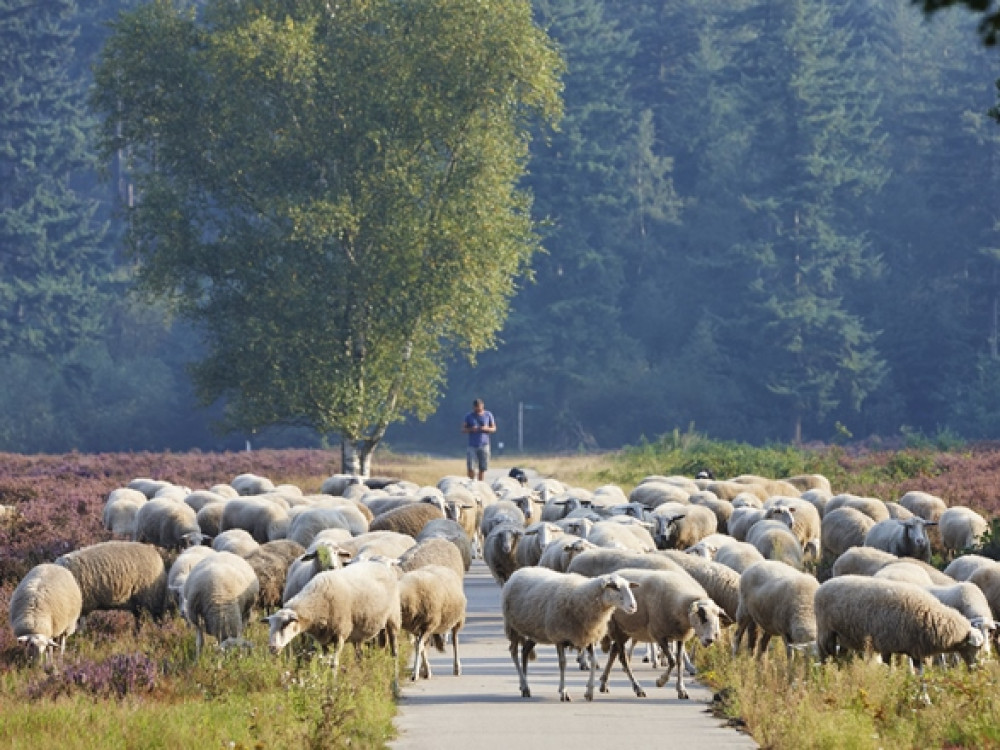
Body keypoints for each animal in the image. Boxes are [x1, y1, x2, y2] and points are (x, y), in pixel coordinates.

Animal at [270, 560, 406, 680]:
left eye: (284, 625)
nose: (272, 648)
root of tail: (382, 565)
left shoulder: (340, 634)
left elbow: (333, 664)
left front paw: (333, 686)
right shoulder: (323, 639)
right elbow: (324, 662)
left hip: (393, 617)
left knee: (394, 651)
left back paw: (395, 677)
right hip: (360, 630)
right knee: (360, 655)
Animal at [504, 568, 636, 704]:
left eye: (629, 586)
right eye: (615, 587)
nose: (633, 606)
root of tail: (518, 571)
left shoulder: (587, 636)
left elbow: (593, 661)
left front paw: (589, 692)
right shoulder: (559, 637)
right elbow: (563, 663)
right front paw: (564, 692)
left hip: (535, 631)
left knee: (525, 650)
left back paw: (524, 686)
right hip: (512, 626)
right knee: (514, 652)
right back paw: (524, 684)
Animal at [596, 568, 724, 704]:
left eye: (717, 616)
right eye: (702, 615)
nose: (710, 640)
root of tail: (613, 574)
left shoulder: (680, 636)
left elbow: (679, 662)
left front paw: (681, 690)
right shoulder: (659, 634)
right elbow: (672, 661)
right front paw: (660, 681)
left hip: (625, 630)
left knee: (614, 651)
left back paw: (603, 684)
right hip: (616, 627)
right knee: (623, 659)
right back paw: (637, 688)